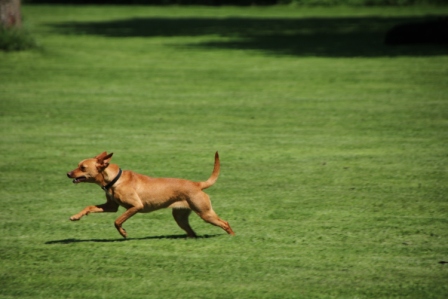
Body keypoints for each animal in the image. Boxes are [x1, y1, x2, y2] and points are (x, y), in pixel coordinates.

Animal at [67, 152, 234, 239]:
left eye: (82, 167)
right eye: (78, 165)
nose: (68, 174)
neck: (115, 179)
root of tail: (197, 184)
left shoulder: (136, 206)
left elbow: (117, 221)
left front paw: (123, 233)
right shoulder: (111, 206)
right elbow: (90, 207)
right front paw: (75, 216)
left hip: (205, 213)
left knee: (225, 223)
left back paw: (232, 236)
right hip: (180, 217)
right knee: (192, 232)